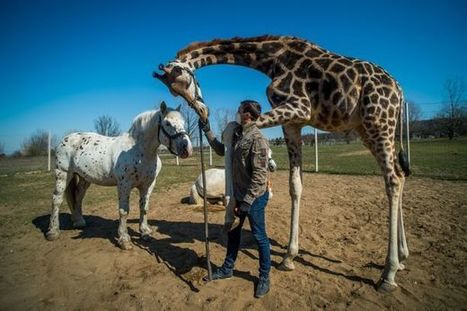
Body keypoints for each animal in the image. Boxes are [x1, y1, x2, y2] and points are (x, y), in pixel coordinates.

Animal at [46, 103, 193, 250]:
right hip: (63, 174)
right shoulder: (124, 185)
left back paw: (79, 222)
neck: (140, 151)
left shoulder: (148, 185)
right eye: (167, 123)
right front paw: (124, 239)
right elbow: (124, 211)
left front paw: (145, 232)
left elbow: (144, 208)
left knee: (78, 197)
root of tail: (66, 139)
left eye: (183, 122)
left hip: (84, 178)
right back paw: (53, 231)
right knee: (56, 199)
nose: (187, 149)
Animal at [154, 36, 410, 292]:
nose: (202, 109)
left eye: (184, 78)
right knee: (399, 174)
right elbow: (295, 186)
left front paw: (229, 218)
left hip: (379, 123)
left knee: (393, 180)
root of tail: (399, 90)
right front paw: (288, 257)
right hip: (366, 129)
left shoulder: (299, 108)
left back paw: (389, 274)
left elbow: (231, 127)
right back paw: (403, 256)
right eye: (173, 91)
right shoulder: (293, 122)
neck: (274, 60)